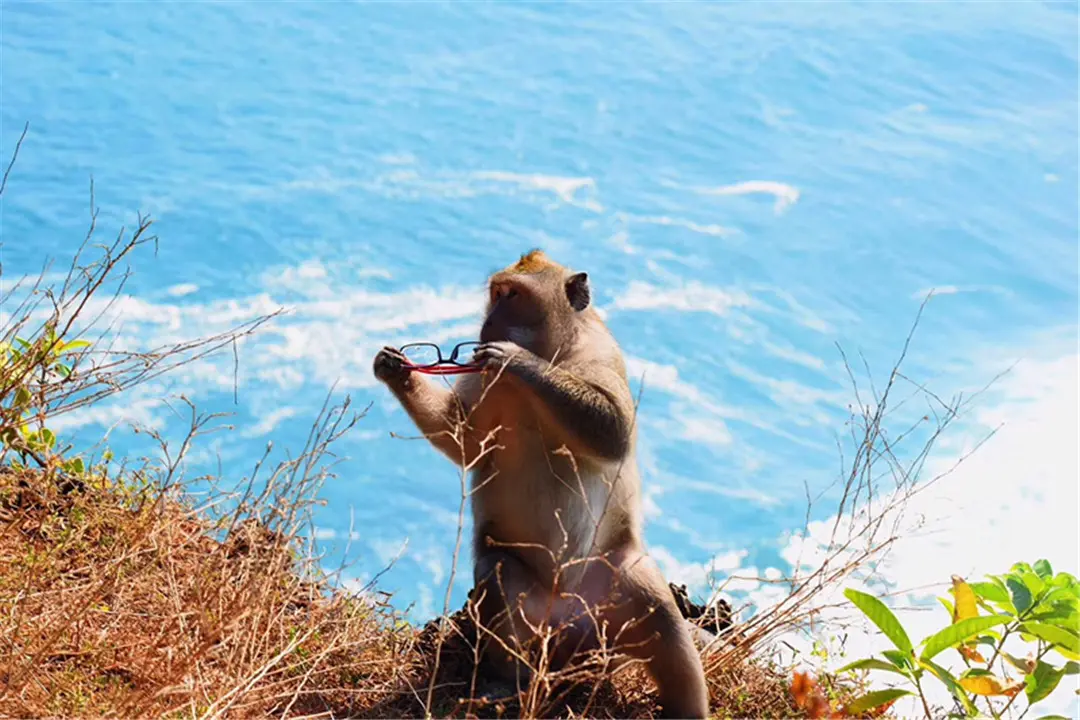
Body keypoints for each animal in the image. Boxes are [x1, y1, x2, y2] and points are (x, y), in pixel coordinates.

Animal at [371, 250, 708, 716]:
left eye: (513, 295)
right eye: (496, 293)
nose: (489, 323)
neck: (554, 353)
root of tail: (570, 626)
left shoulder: (603, 355)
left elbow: (613, 431)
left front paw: (517, 359)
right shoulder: (483, 379)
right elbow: (465, 439)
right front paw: (396, 368)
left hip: (618, 581)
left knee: (663, 619)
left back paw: (688, 708)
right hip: (533, 608)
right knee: (498, 572)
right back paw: (505, 680)